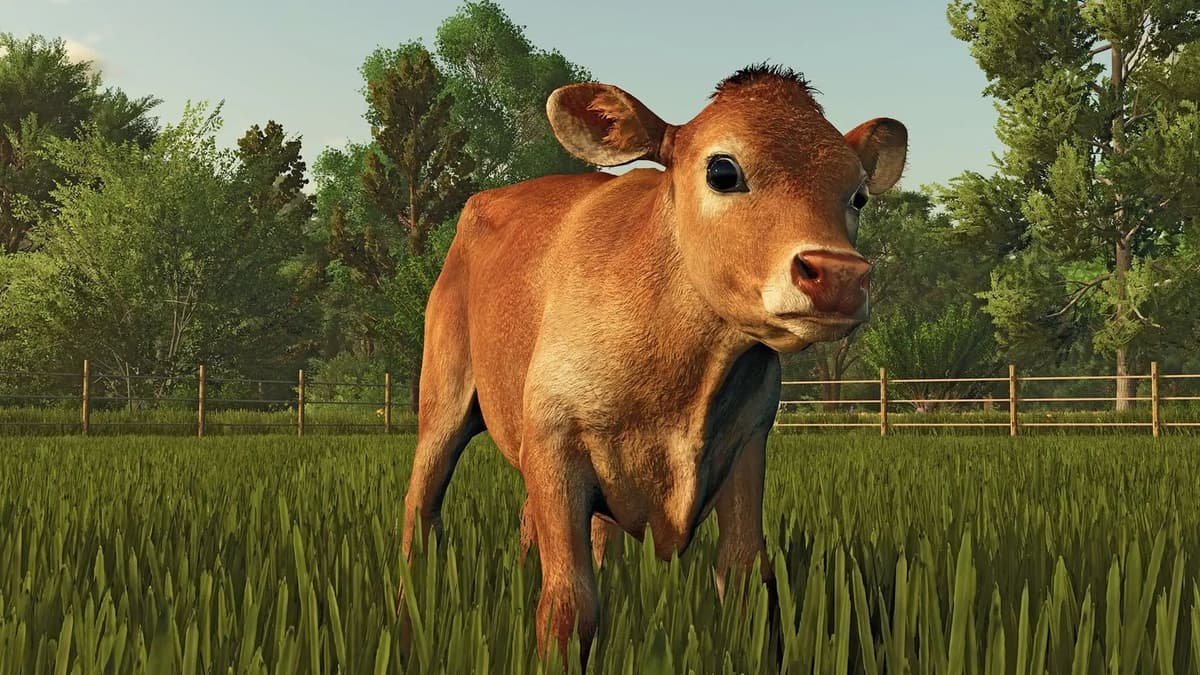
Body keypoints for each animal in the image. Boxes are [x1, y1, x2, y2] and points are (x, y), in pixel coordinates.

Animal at [399, 63, 907, 668]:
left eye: (859, 195)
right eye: (722, 170)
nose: (837, 275)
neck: (681, 382)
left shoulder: (747, 447)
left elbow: (745, 583)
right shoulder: (554, 444)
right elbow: (569, 608)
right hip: (444, 399)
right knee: (421, 506)